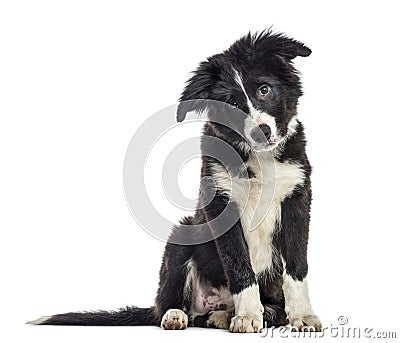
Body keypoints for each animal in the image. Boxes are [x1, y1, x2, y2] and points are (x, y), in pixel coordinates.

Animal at [28, 29, 322, 334]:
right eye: (232, 104)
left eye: (264, 89)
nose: (261, 132)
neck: (259, 159)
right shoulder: (221, 204)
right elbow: (240, 266)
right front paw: (248, 316)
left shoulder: (298, 200)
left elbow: (296, 267)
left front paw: (303, 316)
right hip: (182, 235)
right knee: (174, 306)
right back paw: (179, 315)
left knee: (258, 310)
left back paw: (226, 315)